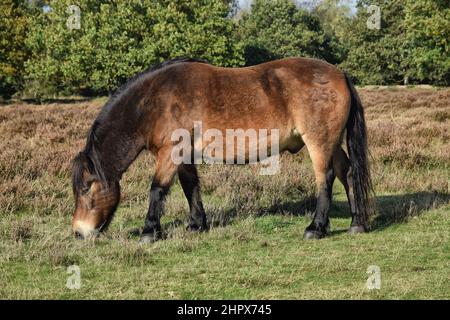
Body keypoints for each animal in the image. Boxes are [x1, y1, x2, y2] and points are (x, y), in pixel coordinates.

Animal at [71, 57, 372, 242]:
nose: (78, 232)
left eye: (86, 188)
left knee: (326, 178)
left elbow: (157, 189)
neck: (155, 102)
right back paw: (357, 223)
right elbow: (190, 187)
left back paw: (316, 227)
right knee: (347, 173)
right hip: (333, 143)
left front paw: (149, 231)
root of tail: (339, 74)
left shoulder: (170, 153)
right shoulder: (185, 156)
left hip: (319, 142)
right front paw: (196, 224)